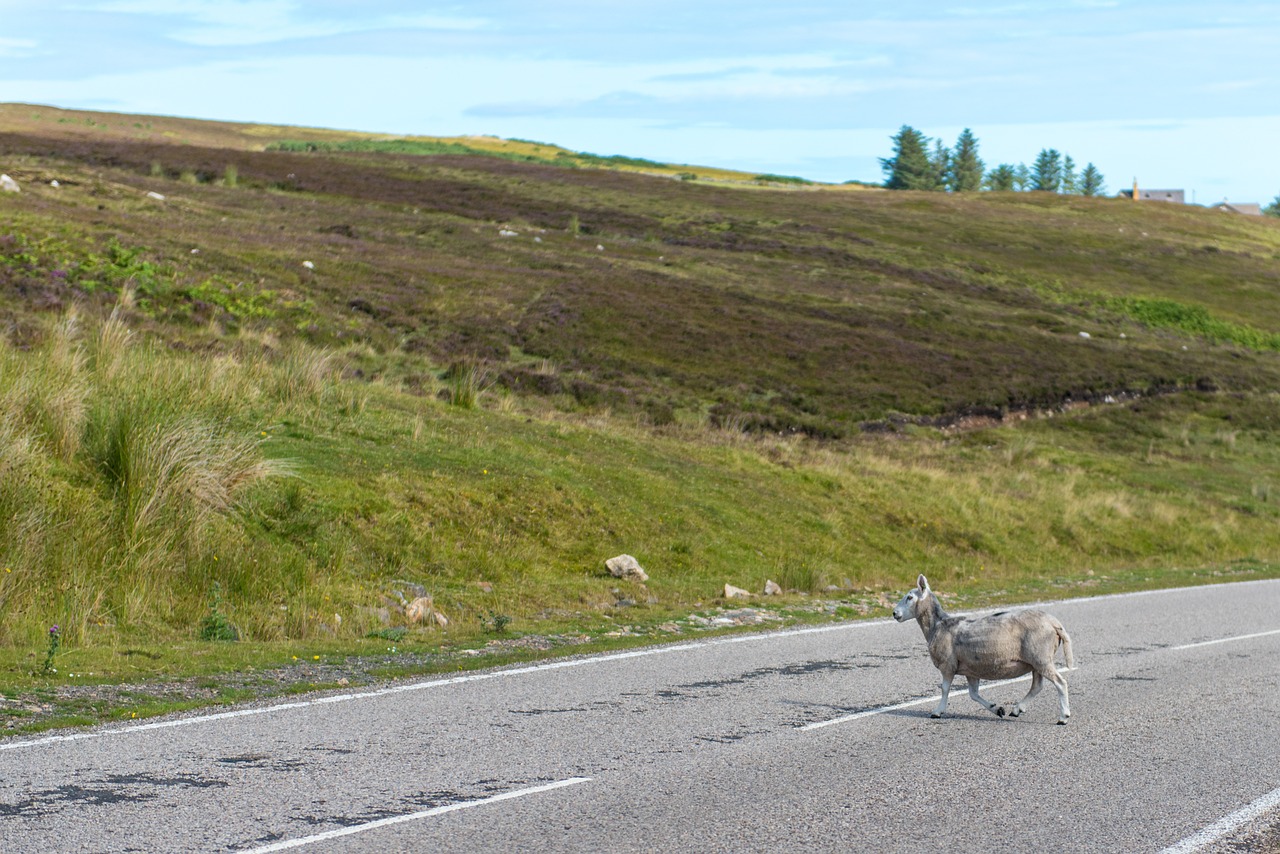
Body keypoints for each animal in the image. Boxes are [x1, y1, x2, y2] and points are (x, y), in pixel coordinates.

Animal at [896, 578, 1075, 727]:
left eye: (910, 597)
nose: (894, 613)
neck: (938, 625)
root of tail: (1054, 623)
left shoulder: (948, 665)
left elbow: (945, 689)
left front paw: (937, 712)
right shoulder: (970, 670)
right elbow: (973, 694)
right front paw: (997, 709)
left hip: (1041, 657)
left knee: (1060, 682)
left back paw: (1063, 717)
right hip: (1036, 661)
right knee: (1037, 686)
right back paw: (1017, 709)